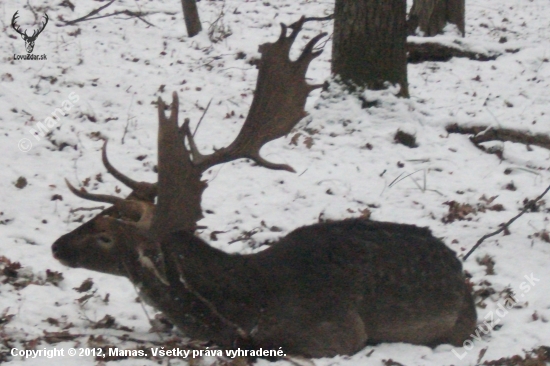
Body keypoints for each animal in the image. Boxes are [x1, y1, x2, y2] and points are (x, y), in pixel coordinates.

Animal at [50, 17, 478, 358]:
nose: (56, 246)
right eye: (101, 213)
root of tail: (461, 271)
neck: (245, 305)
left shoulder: (334, 333)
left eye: (106, 236)